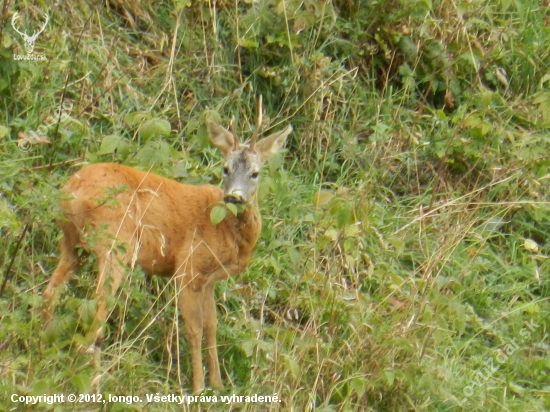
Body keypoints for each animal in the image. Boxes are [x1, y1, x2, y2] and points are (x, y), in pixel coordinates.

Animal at [42, 113, 294, 392]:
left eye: (255, 173)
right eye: (225, 169)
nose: (234, 198)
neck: (227, 229)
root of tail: (69, 190)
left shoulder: (209, 280)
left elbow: (212, 325)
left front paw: (217, 385)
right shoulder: (188, 266)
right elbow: (194, 328)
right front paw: (198, 387)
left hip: (72, 243)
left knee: (50, 292)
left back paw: (44, 346)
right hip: (116, 242)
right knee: (97, 308)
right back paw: (95, 380)